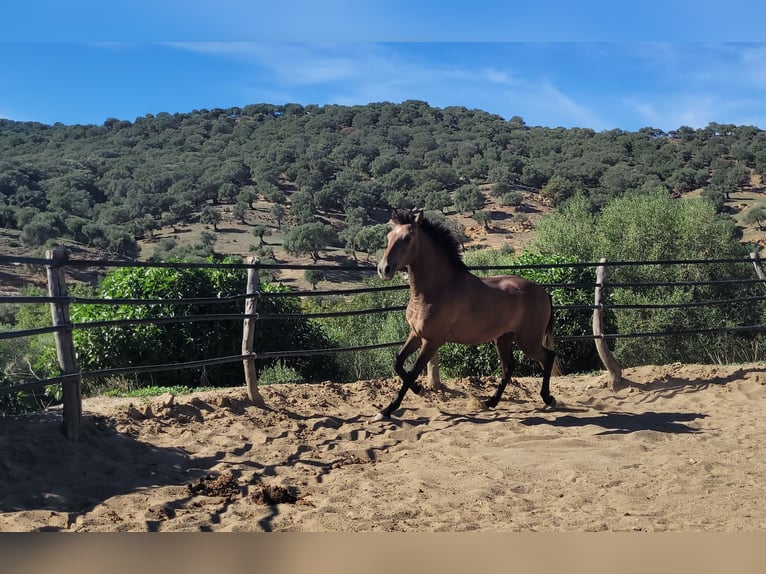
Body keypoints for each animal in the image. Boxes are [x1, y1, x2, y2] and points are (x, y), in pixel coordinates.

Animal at [376, 209, 560, 420]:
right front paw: (418, 389)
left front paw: (387, 409)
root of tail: (543, 292)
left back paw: (548, 398)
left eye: (407, 238)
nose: (383, 269)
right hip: (503, 339)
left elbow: (413, 371)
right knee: (509, 367)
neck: (437, 290)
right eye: (389, 236)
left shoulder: (431, 341)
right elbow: (398, 362)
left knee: (548, 357)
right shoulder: (416, 334)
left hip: (528, 340)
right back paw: (490, 402)